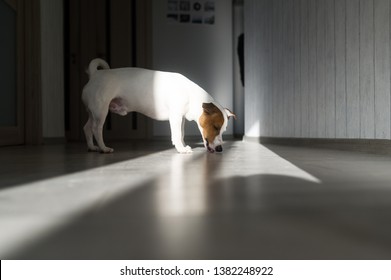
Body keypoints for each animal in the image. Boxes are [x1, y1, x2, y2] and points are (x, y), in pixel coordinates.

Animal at [82, 57, 236, 153]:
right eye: (215, 127)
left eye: (223, 130)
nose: (220, 149)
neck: (191, 95)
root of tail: (95, 74)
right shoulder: (175, 117)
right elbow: (176, 135)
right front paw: (181, 149)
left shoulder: (181, 119)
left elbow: (181, 134)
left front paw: (182, 145)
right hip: (101, 112)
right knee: (96, 129)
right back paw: (103, 148)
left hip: (92, 112)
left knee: (87, 128)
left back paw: (92, 147)